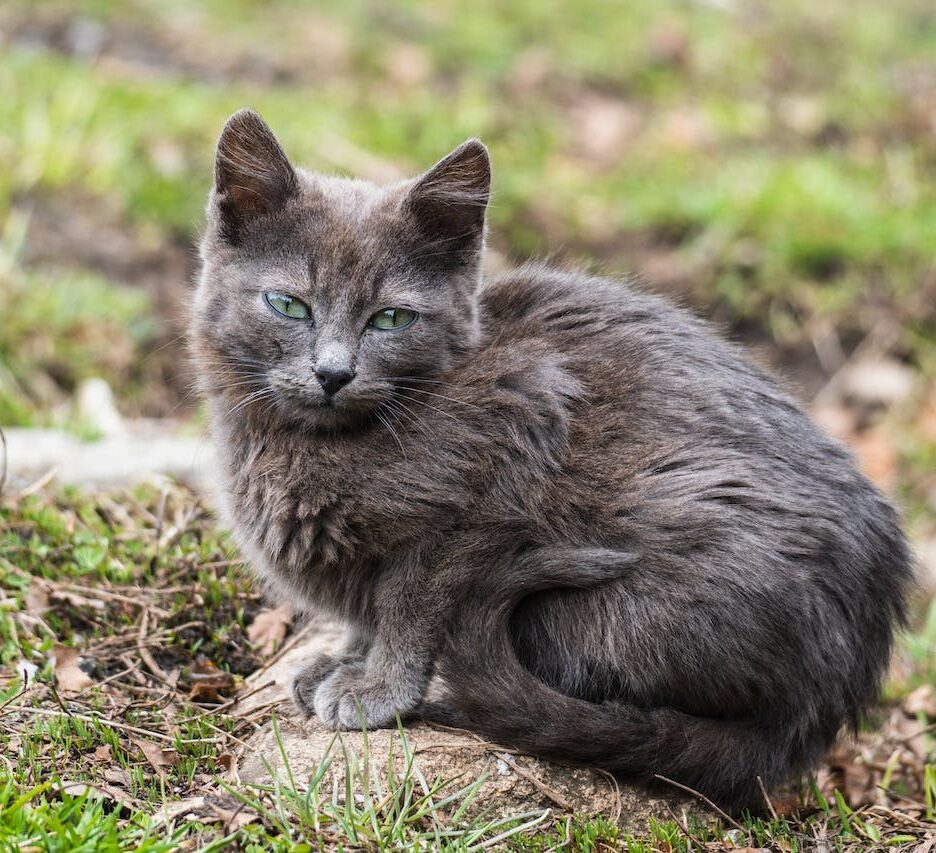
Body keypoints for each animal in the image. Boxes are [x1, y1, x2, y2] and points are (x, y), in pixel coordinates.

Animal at [192, 110, 916, 808]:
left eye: (391, 319)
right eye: (288, 304)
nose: (333, 372)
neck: (316, 440)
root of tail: (822, 710)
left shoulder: (499, 459)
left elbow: (408, 606)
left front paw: (375, 687)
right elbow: (367, 612)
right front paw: (340, 662)